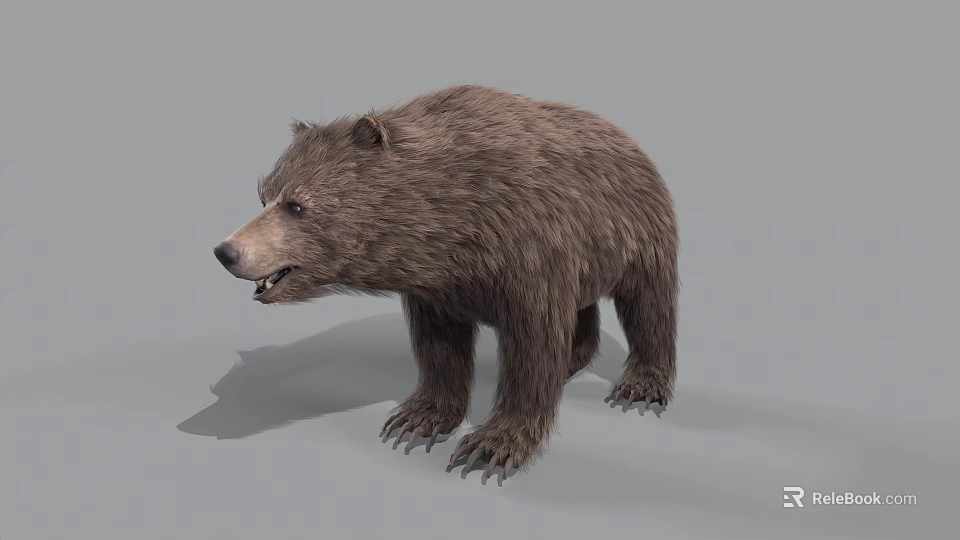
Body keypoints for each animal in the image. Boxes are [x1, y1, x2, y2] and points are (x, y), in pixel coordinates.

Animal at [213, 84, 680, 480]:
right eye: (263, 195)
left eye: (296, 205)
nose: (226, 251)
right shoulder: (439, 287)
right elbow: (439, 347)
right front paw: (416, 419)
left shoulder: (531, 252)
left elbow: (533, 344)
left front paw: (491, 446)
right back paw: (573, 357)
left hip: (637, 229)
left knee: (649, 303)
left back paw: (639, 384)